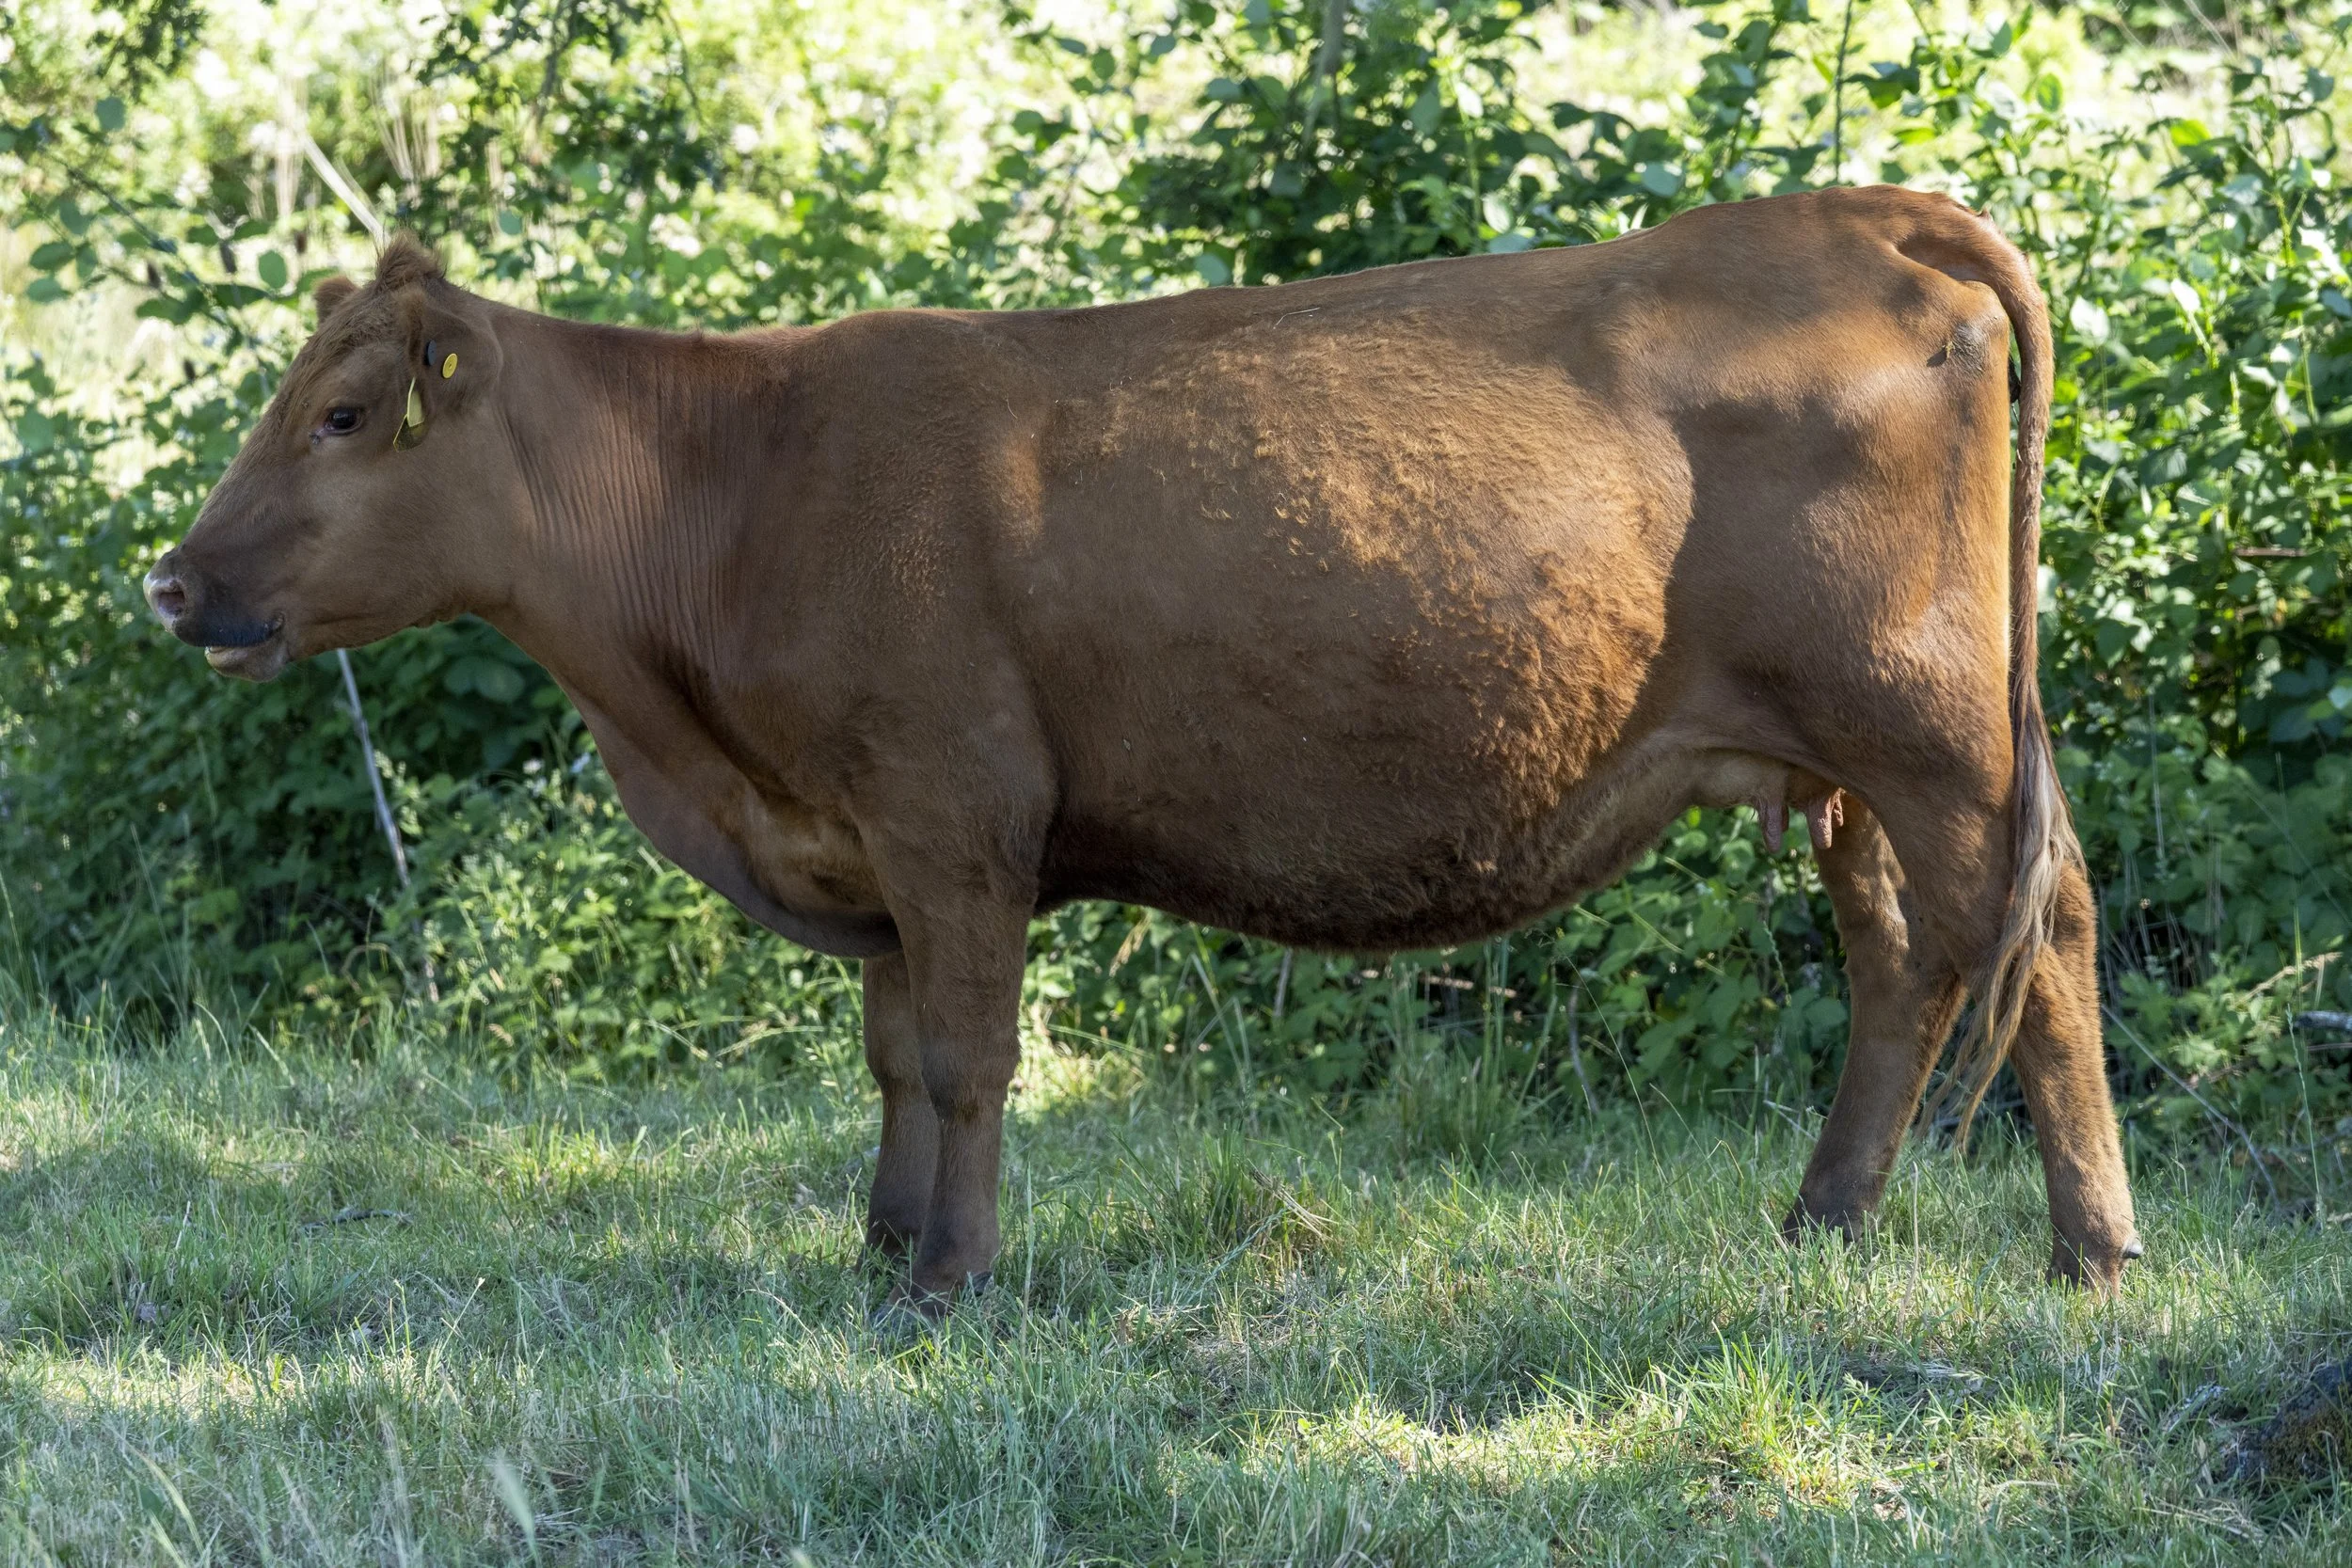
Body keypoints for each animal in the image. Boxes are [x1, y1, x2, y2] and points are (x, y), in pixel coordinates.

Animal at [145, 185, 2141, 1309]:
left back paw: (2093, 1250)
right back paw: (1827, 1222)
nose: (172, 581)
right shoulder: (874, 841)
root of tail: (1863, 213)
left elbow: (966, 1061)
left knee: (2041, 939)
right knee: (1906, 963)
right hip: (1839, 772)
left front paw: (949, 1282)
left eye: (340, 415)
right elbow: (890, 1055)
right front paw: (878, 1247)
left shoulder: (952, 810)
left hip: (1934, 731)